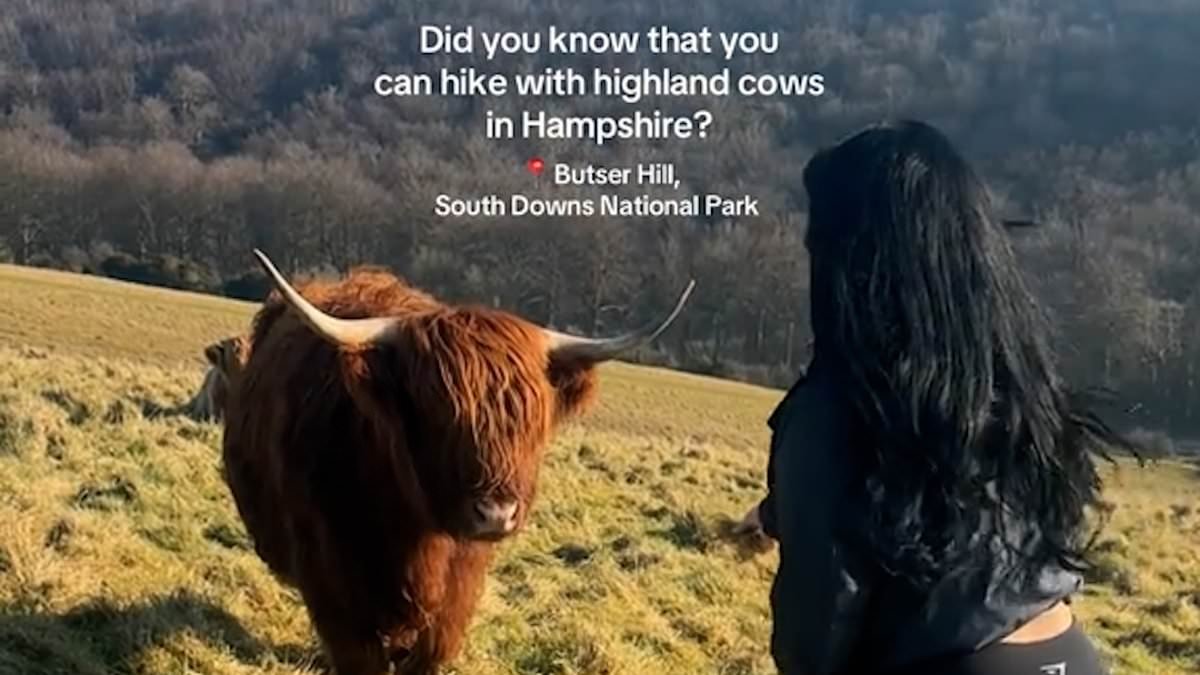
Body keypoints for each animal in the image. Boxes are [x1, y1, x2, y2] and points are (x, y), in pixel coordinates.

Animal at [221, 250, 694, 675]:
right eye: (437, 412)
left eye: (530, 420)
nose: (497, 513)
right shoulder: (331, 579)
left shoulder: (458, 587)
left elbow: (432, 650)